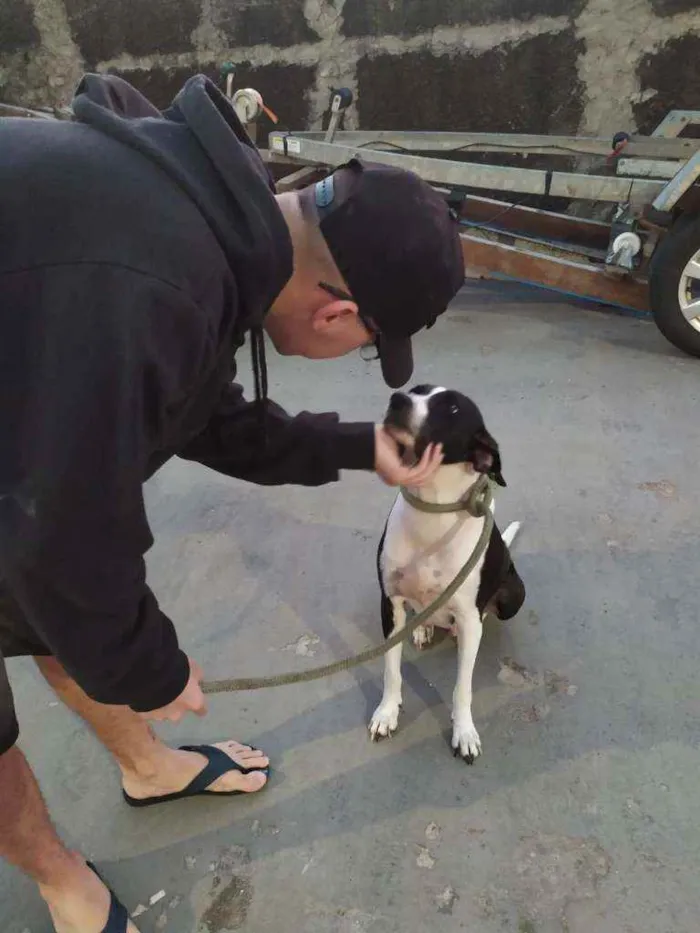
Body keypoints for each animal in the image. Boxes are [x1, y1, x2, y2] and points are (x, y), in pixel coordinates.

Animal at [366, 382, 524, 760]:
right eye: (416, 389)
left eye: (452, 409)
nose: (397, 399)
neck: (431, 509)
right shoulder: (390, 603)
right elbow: (391, 669)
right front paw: (387, 713)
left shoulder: (466, 615)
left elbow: (462, 687)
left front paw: (464, 731)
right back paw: (424, 627)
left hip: (513, 595)